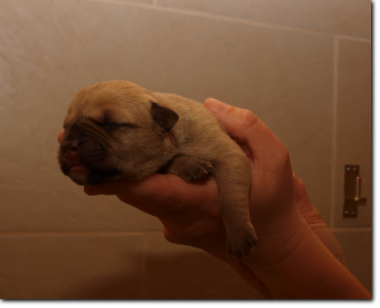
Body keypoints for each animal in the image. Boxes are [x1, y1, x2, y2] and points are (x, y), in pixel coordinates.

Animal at [58, 79, 255, 258]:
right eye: (66, 126)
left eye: (112, 123)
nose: (68, 145)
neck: (174, 137)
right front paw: (190, 165)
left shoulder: (229, 155)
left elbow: (230, 198)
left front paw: (238, 233)